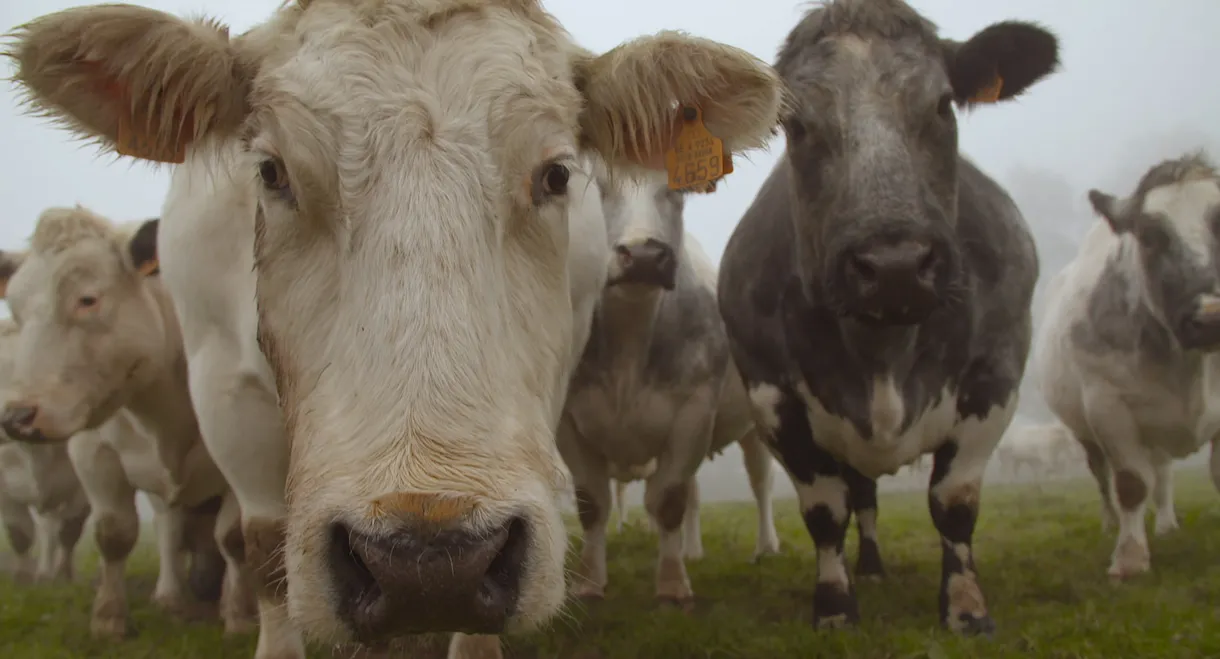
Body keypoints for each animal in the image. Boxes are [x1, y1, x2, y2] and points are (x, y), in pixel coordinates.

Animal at [0, 319, 91, 584]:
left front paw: (63, 577)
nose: (10, 419)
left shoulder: (81, 486)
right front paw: (21, 578)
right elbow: (19, 533)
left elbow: (70, 530)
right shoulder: (4, 489)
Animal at [560, 170, 781, 606]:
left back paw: (766, 547)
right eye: (597, 185)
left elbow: (668, 500)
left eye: (675, 190)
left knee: (761, 482)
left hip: (754, 426)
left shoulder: (693, 414)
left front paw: (673, 585)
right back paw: (692, 550)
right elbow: (592, 502)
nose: (643, 254)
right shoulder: (568, 423)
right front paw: (588, 582)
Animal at [716, 0, 1059, 634]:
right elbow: (826, 511)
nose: (895, 265)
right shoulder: (772, 396)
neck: (883, 353)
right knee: (862, 497)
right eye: (796, 125)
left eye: (944, 104)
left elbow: (954, 503)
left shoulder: (996, 376)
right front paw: (834, 605)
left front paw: (966, 607)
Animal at [1034, 152, 1220, 580]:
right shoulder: (1108, 407)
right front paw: (1131, 557)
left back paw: (1167, 523)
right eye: (1150, 236)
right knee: (1106, 478)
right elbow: (1131, 483)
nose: (1210, 316)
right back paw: (1112, 522)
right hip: (1085, 432)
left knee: (1163, 474)